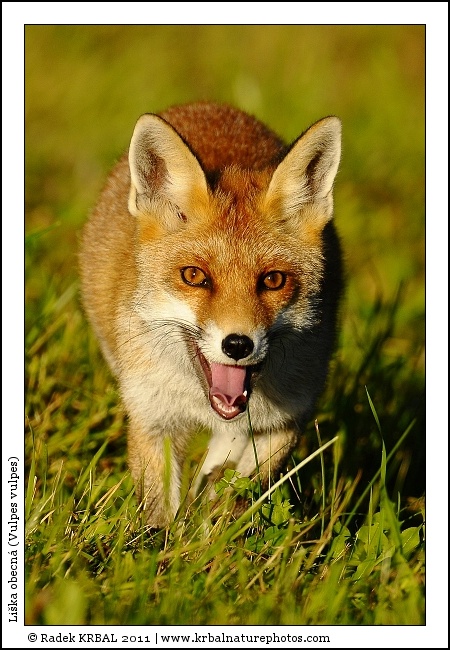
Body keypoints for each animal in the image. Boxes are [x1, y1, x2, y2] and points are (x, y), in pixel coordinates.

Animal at [79, 102, 343, 528]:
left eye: (273, 280)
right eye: (194, 276)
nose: (237, 345)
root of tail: (209, 105)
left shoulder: (290, 415)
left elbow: (244, 485)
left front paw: (214, 525)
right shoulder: (152, 416)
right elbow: (158, 513)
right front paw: (164, 543)